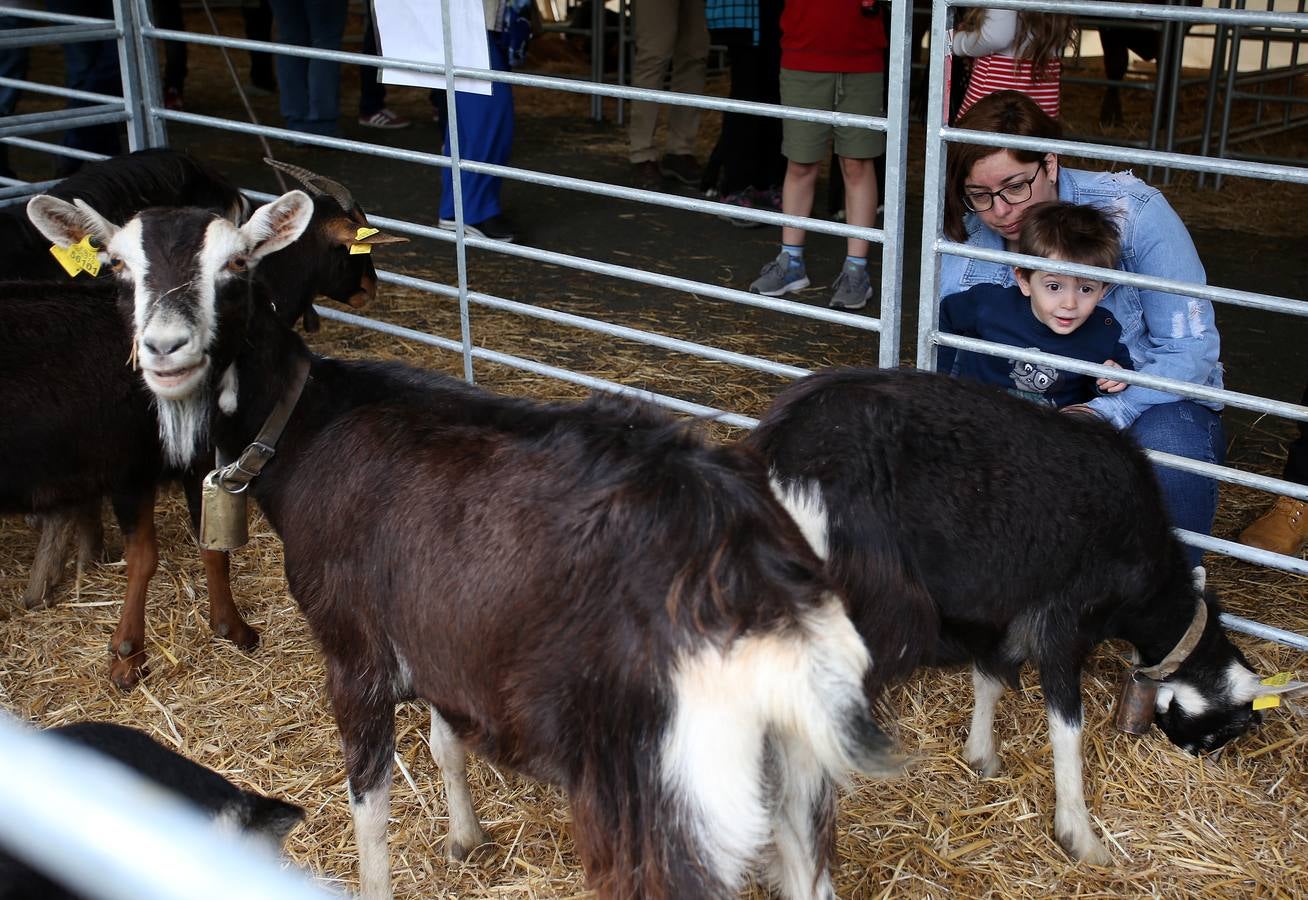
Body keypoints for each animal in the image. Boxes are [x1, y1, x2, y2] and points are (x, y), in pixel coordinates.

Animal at [33, 190, 910, 900]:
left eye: (237, 266)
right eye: (118, 268)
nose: (166, 349)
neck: (306, 423)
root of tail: (753, 582)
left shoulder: (355, 652)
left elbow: (370, 802)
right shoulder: (440, 631)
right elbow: (446, 742)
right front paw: (465, 838)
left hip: (661, 798)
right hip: (793, 775)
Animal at [742, 366, 1302, 863]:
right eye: (1228, 729)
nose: (1194, 756)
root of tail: (782, 449)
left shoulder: (1007, 612)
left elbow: (990, 679)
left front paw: (981, 756)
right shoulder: (1063, 619)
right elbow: (1066, 724)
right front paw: (1080, 835)